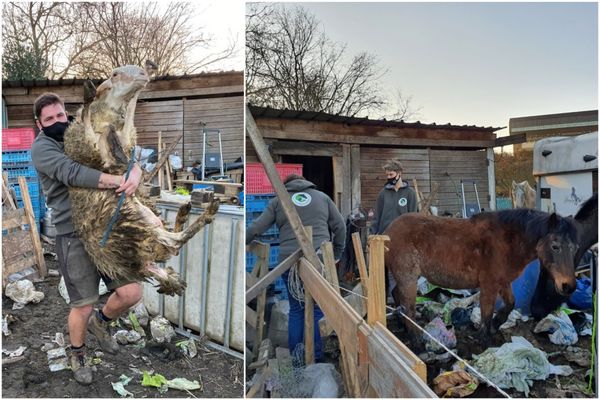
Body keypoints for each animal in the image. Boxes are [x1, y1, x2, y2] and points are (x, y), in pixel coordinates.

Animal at [384, 208, 580, 346]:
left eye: (575, 248)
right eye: (555, 246)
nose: (568, 286)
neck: (507, 242)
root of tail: (388, 231)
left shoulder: (503, 282)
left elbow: (510, 304)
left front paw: (496, 325)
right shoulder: (489, 285)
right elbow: (486, 313)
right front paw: (484, 341)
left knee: (397, 296)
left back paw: (402, 324)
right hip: (408, 277)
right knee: (409, 307)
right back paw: (417, 341)